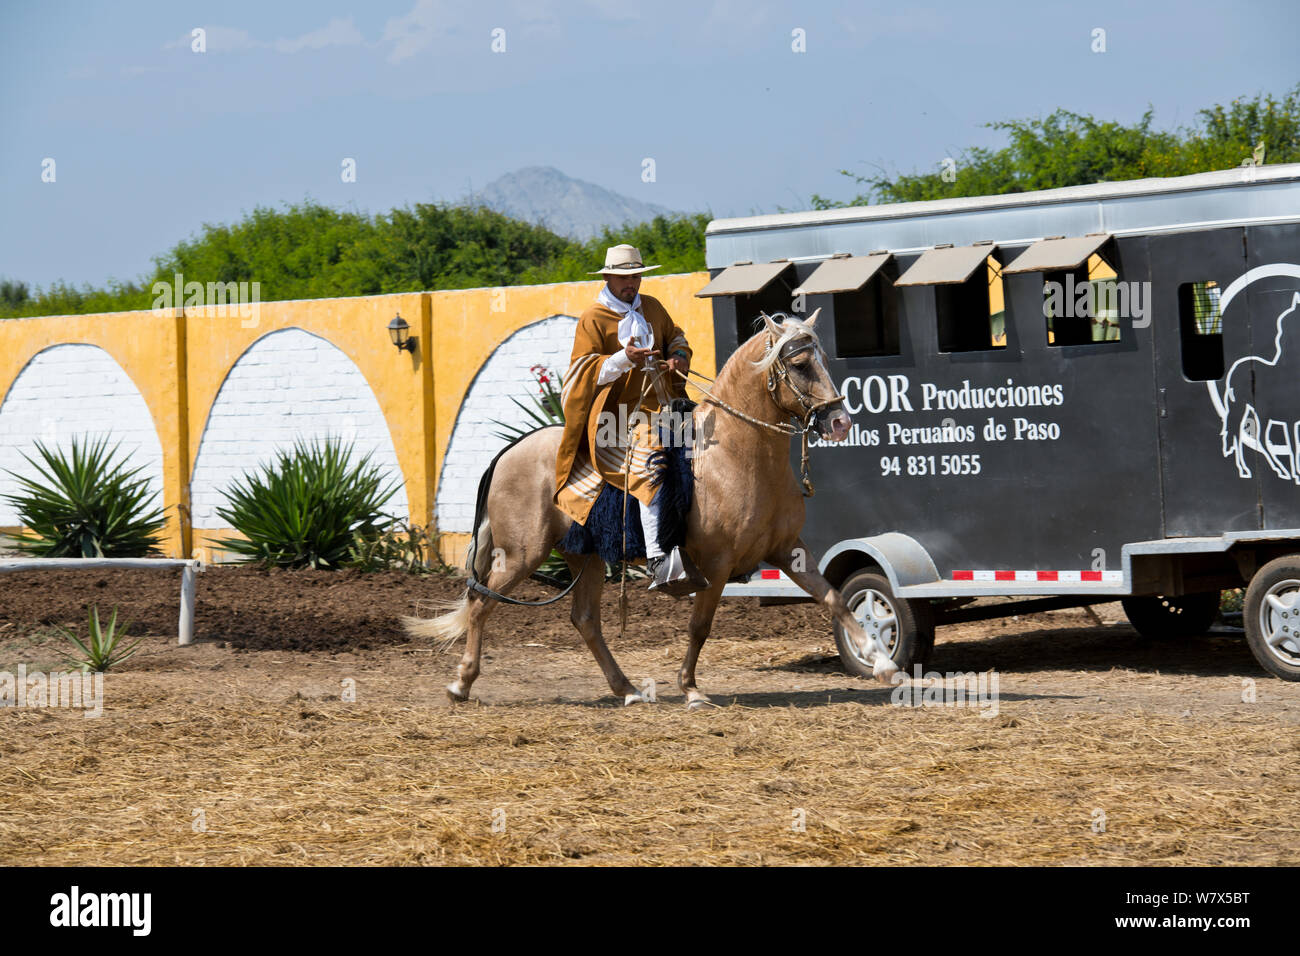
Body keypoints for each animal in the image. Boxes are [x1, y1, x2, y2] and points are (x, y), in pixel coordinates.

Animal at [408, 310, 904, 707]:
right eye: (800, 364)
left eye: (824, 360)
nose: (839, 422)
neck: (735, 456)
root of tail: (511, 450)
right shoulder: (716, 565)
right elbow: (700, 626)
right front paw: (691, 689)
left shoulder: (789, 551)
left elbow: (834, 598)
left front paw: (881, 662)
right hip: (521, 555)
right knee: (481, 602)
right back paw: (461, 684)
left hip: (585, 558)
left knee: (584, 620)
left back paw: (626, 689)